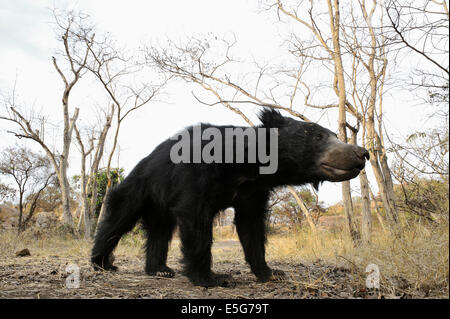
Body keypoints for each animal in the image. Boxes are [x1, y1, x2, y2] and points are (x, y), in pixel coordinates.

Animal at [92, 109, 370, 288]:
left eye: (334, 135)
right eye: (318, 137)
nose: (362, 153)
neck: (249, 169)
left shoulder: (253, 193)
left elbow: (252, 228)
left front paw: (272, 273)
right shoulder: (197, 176)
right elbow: (196, 222)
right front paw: (212, 278)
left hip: (160, 204)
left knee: (160, 231)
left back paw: (160, 270)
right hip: (139, 189)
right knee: (117, 221)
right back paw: (102, 263)